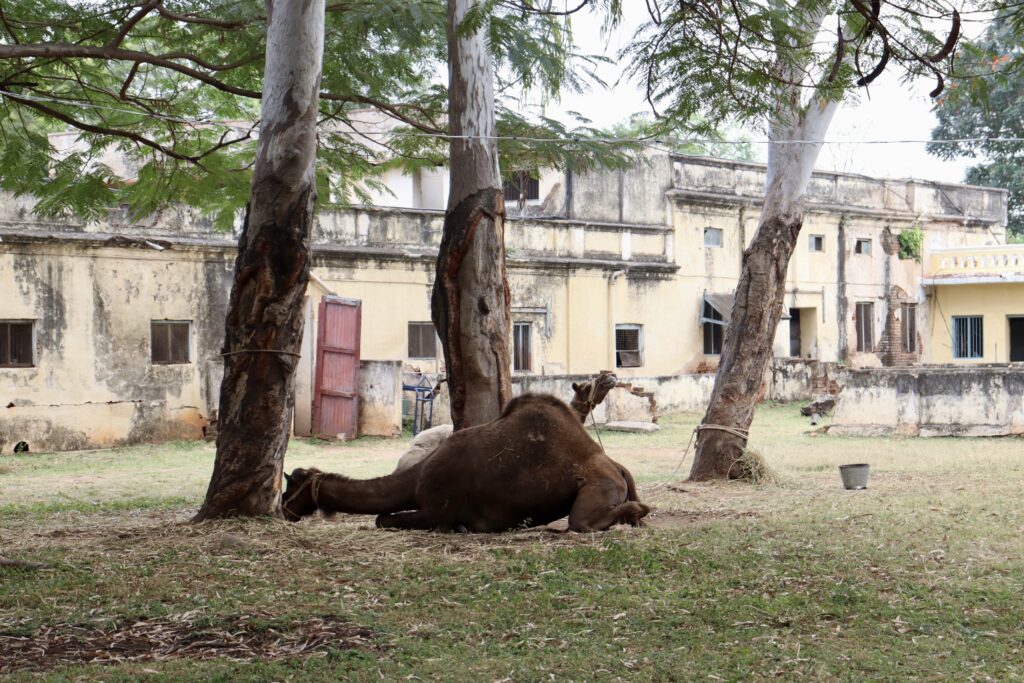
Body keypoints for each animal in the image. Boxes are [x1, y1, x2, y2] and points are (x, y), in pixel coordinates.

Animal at [282, 389, 647, 532]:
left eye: (290, 486)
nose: (283, 509)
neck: (416, 480)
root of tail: (616, 466)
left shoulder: (437, 509)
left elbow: (383, 519)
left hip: (598, 487)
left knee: (581, 522)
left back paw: (636, 512)